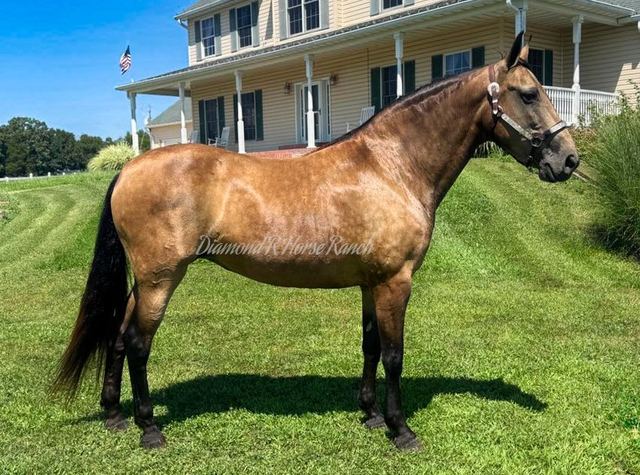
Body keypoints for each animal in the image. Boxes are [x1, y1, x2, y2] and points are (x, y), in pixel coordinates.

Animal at [54, 33, 578, 451]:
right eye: (528, 94)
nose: (569, 160)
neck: (391, 167)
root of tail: (129, 168)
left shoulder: (372, 283)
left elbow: (370, 346)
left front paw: (370, 415)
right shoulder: (396, 282)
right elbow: (394, 355)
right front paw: (401, 429)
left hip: (146, 280)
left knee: (117, 337)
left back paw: (115, 416)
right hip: (161, 279)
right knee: (137, 343)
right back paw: (149, 428)